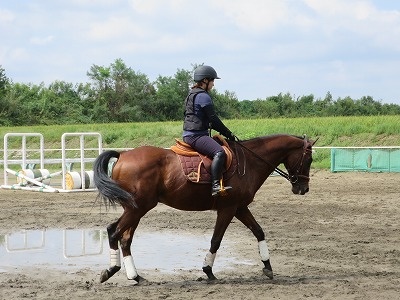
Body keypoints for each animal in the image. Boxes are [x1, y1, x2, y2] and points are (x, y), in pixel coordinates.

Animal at [94, 133, 316, 284]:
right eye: (309, 159)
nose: (303, 188)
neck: (250, 161)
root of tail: (123, 156)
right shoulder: (227, 209)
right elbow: (216, 240)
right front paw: (208, 270)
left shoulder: (240, 207)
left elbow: (258, 231)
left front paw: (268, 267)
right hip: (137, 209)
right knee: (114, 232)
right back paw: (112, 270)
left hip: (135, 210)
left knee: (124, 238)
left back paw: (135, 276)